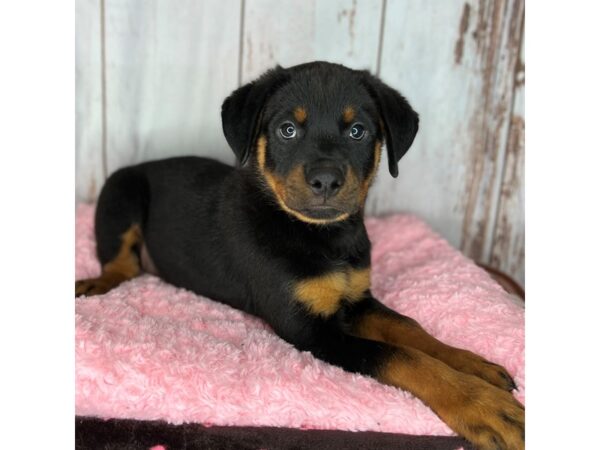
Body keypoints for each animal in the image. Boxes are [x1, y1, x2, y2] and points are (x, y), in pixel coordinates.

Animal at [76, 60, 524, 450]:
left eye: (358, 131)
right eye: (287, 130)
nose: (325, 180)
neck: (323, 236)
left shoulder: (357, 300)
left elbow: (410, 329)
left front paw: (473, 365)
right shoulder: (310, 330)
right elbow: (402, 356)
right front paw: (483, 405)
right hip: (122, 192)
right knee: (123, 263)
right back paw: (96, 282)